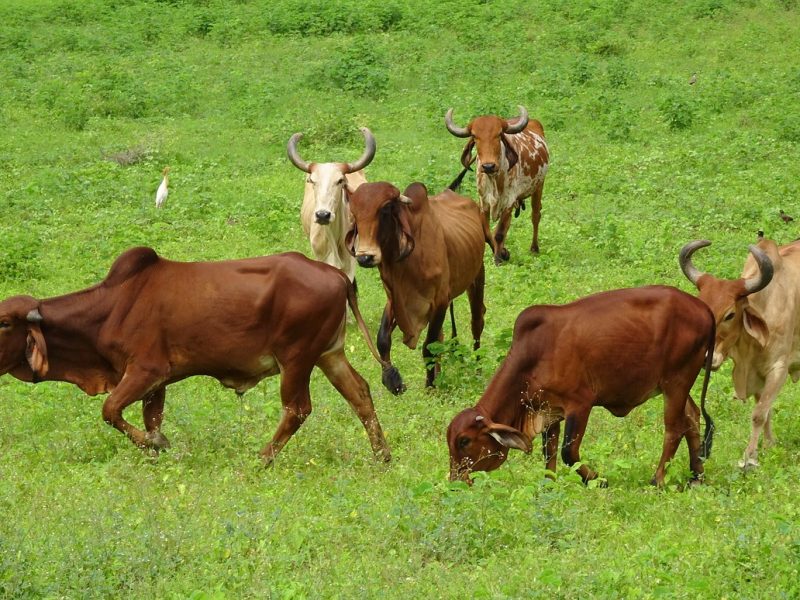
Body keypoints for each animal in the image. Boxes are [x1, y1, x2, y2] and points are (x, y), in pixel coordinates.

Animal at [0, 247, 391, 465]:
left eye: (4, 322)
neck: (111, 308)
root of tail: (337, 275)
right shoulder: (156, 383)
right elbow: (149, 419)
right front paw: (157, 451)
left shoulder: (144, 370)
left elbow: (110, 411)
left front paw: (157, 444)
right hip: (329, 354)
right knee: (360, 394)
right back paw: (382, 457)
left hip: (296, 359)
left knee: (298, 409)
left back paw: (261, 460)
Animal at [344, 181, 489, 394]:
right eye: (354, 213)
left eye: (385, 208)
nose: (365, 257)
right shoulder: (394, 299)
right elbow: (382, 339)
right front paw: (392, 379)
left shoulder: (440, 301)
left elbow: (428, 346)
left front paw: (430, 386)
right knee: (442, 336)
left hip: (477, 275)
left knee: (477, 322)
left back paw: (478, 369)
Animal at [445, 105, 549, 265]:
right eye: (475, 136)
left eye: (499, 134)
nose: (488, 166)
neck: (493, 179)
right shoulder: (483, 203)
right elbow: (487, 233)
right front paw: (503, 252)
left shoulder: (508, 202)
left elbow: (499, 233)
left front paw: (499, 258)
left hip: (539, 186)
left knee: (536, 215)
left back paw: (534, 248)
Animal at [447, 286, 716, 487]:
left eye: (464, 441)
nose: (456, 481)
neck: (533, 357)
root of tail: (704, 309)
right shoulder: (549, 411)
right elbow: (549, 454)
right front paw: (549, 486)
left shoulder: (580, 404)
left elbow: (569, 453)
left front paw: (599, 480)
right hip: (677, 384)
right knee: (692, 417)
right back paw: (696, 476)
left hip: (676, 381)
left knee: (674, 428)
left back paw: (658, 480)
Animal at [680, 236, 799, 469]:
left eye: (729, 315)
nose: (707, 359)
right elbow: (766, 411)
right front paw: (768, 446)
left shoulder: (778, 369)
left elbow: (759, 414)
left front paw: (749, 458)